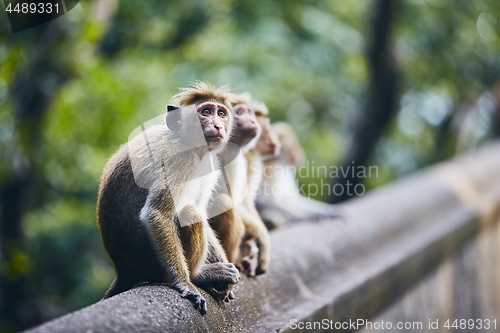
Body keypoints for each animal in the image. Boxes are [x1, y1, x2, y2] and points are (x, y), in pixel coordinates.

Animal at [96, 81, 241, 314]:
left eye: (221, 113)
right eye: (206, 112)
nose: (218, 125)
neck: (188, 141)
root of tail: (125, 270)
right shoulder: (178, 159)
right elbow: (158, 213)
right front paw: (185, 283)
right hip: (153, 265)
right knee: (190, 212)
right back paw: (199, 275)